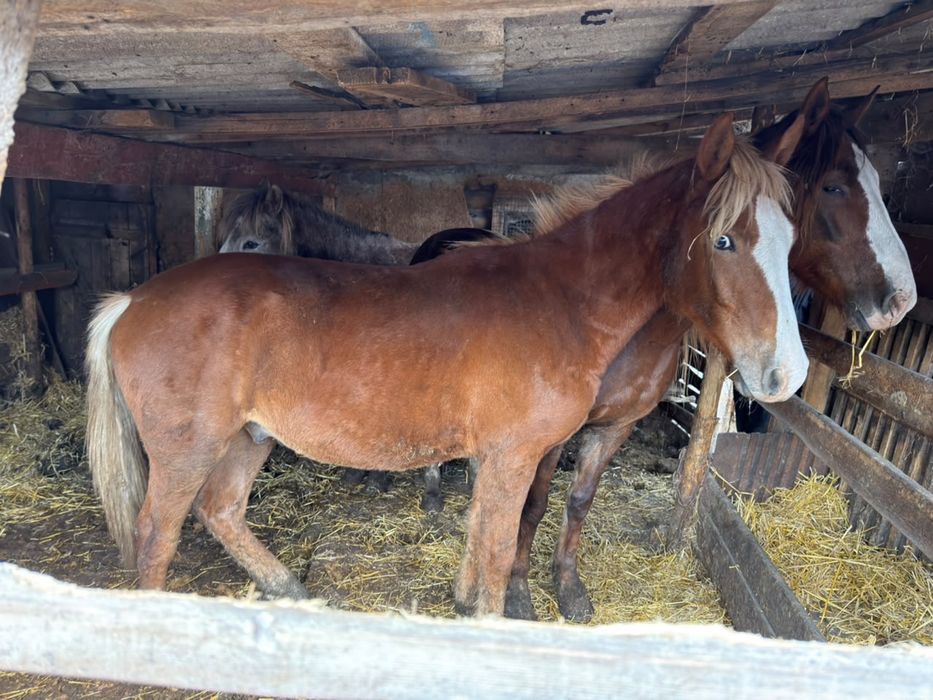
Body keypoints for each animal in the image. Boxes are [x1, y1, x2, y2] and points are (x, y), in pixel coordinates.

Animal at [502, 78, 919, 622]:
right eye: (834, 186)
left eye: (789, 233)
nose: (902, 299)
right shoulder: (552, 433)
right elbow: (532, 504)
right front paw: (516, 593)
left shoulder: (615, 426)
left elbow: (579, 500)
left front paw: (569, 588)